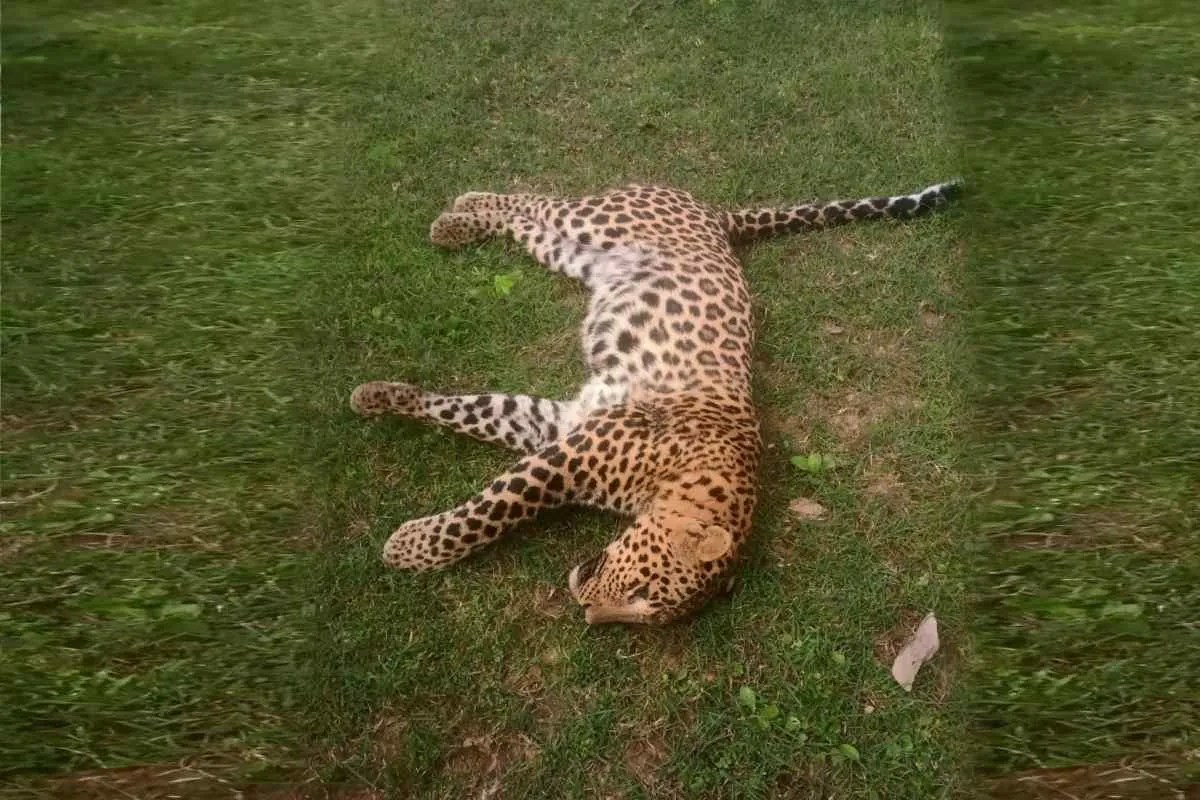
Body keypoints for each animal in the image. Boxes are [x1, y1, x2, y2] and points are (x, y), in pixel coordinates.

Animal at [349, 178, 960, 625]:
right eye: (643, 589)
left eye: (644, 611)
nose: (586, 614)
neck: (697, 476)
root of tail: (718, 216)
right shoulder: (563, 459)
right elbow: (489, 515)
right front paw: (411, 547)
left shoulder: (557, 425)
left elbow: (471, 409)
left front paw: (381, 396)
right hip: (601, 219)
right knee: (532, 198)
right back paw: (461, 211)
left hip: (574, 253)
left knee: (525, 222)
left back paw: (457, 223)